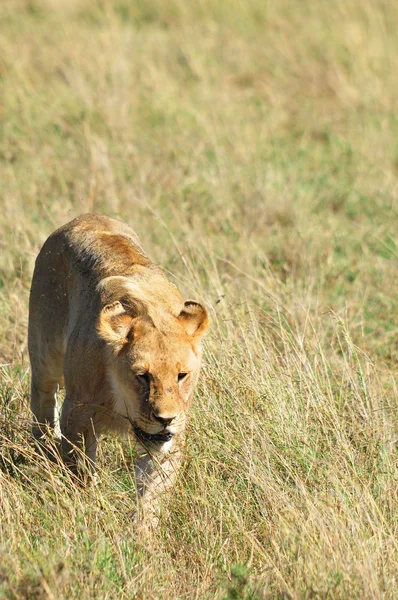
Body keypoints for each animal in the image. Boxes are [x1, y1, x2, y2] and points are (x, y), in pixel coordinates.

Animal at [27, 213, 208, 524]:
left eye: (182, 376)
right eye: (142, 376)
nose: (166, 418)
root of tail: (85, 217)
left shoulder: (170, 439)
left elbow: (152, 496)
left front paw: (141, 533)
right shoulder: (76, 412)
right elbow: (80, 470)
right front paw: (87, 508)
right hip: (44, 353)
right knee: (43, 401)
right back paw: (45, 447)